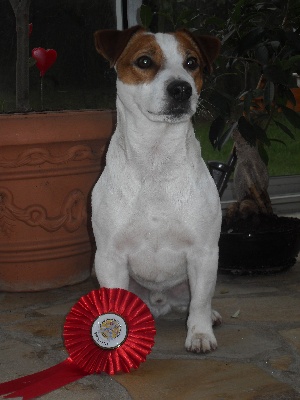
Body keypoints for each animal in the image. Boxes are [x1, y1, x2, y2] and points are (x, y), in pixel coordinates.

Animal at [92, 25, 221, 354]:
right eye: (145, 61)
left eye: (191, 63)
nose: (181, 89)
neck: (155, 161)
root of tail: (159, 303)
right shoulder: (110, 257)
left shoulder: (203, 253)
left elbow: (201, 302)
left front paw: (200, 334)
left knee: (195, 301)